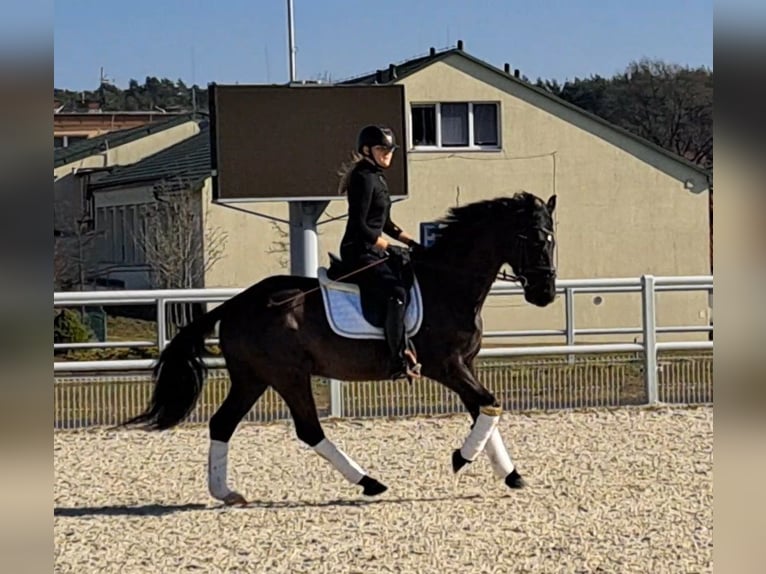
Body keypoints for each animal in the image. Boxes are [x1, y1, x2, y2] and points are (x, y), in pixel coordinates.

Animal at [124, 192, 560, 504]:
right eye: (537, 239)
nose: (546, 294)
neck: (449, 283)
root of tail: (237, 303)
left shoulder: (465, 364)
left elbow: (486, 409)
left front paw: (511, 474)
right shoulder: (447, 365)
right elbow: (488, 404)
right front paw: (462, 458)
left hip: (253, 378)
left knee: (223, 423)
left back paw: (225, 492)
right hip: (288, 375)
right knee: (308, 429)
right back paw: (369, 482)